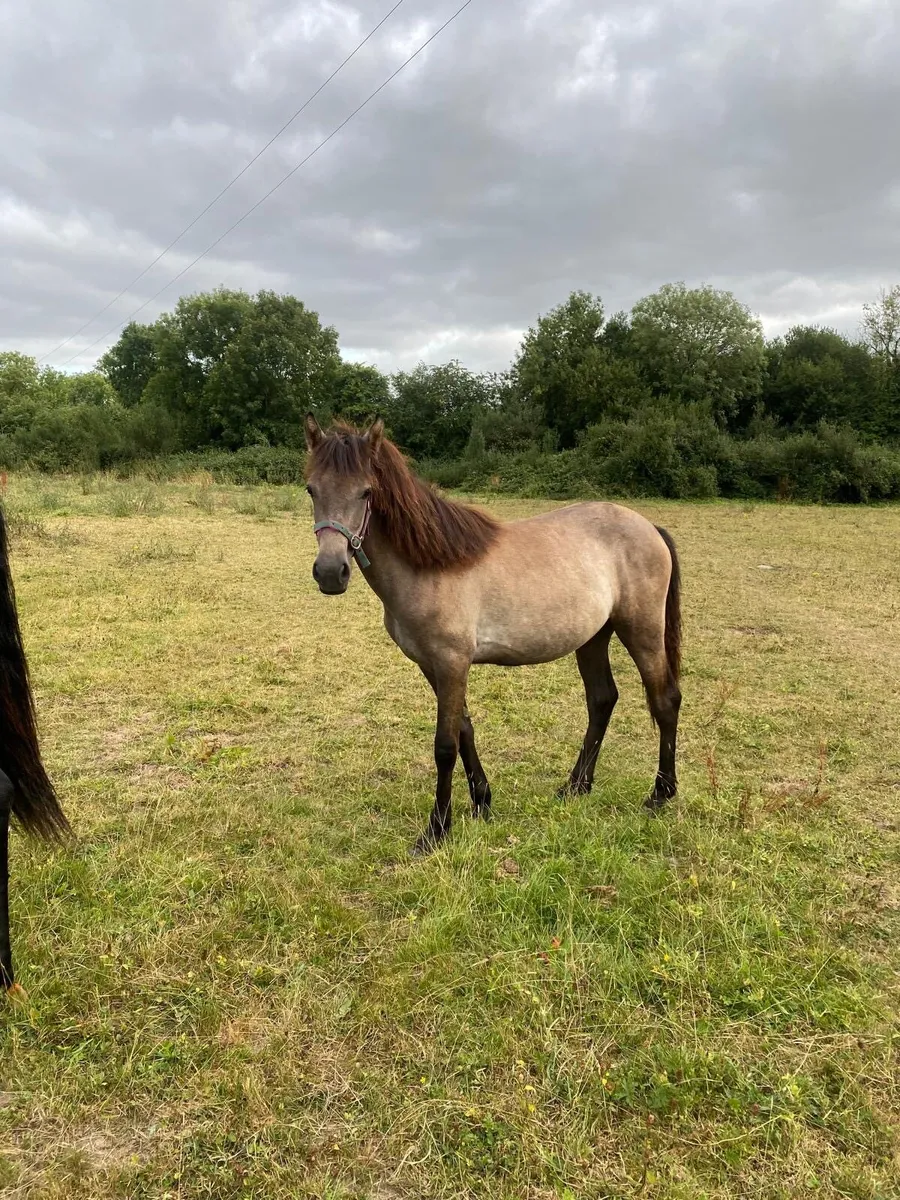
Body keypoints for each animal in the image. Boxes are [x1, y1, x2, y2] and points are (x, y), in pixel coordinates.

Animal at [304, 416, 682, 856]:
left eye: (366, 491)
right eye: (311, 489)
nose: (331, 573)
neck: (432, 565)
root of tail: (649, 527)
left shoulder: (452, 662)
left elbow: (445, 745)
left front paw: (436, 830)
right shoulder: (433, 666)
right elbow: (464, 730)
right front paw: (482, 802)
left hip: (642, 631)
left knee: (664, 700)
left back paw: (659, 795)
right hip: (593, 638)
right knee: (602, 700)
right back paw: (575, 787)